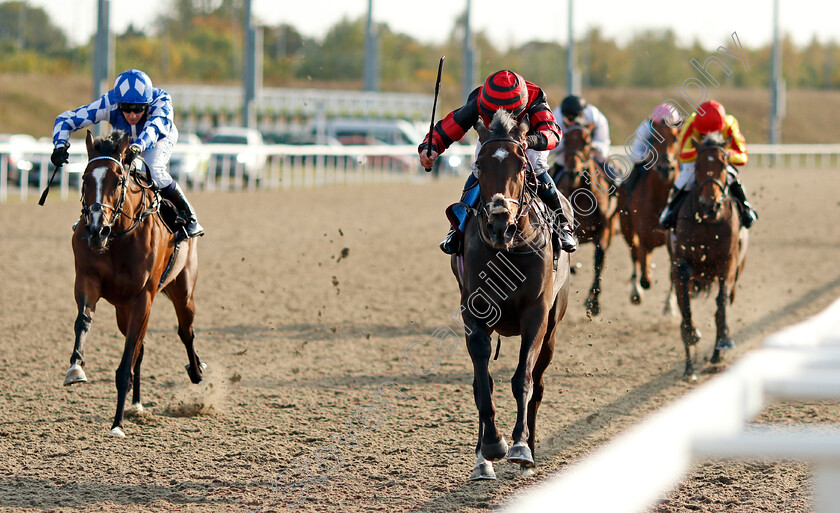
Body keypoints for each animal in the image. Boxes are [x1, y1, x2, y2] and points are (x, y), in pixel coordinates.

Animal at [64, 130, 205, 434]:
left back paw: (197, 371)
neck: (117, 237)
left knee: (185, 331)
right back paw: (138, 405)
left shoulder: (143, 298)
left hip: (183, 289)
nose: (96, 229)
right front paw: (75, 367)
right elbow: (83, 320)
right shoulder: (87, 281)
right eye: (85, 178)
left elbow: (126, 362)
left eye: (118, 180)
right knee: (142, 347)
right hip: (122, 309)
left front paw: (117, 424)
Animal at [450, 109, 576, 480]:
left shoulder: (536, 314)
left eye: (522, 165)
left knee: (538, 382)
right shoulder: (474, 312)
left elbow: (523, 379)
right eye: (478, 165)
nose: (498, 224)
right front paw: (489, 448)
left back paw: (530, 451)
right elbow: (482, 382)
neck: (508, 249)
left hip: (553, 327)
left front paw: (520, 446)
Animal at [556, 124, 620, 316]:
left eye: (586, 142)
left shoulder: (605, 230)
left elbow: (599, 259)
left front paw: (594, 304)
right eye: (566, 141)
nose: (572, 172)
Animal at [616, 120, 684, 312]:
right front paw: (642, 285)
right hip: (626, 228)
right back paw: (636, 291)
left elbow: (673, 270)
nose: (665, 167)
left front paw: (670, 303)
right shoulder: (643, 235)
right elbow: (642, 265)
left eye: (675, 137)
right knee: (634, 255)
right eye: (653, 139)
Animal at [668, 132, 748, 380]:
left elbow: (721, 305)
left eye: (724, 164)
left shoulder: (728, 264)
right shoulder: (680, 264)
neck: (708, 222)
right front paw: (691, 343)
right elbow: (685, 307)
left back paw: (716, 354)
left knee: (723, 305)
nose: (709, 204)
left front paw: (723, 343)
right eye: (698, 166)